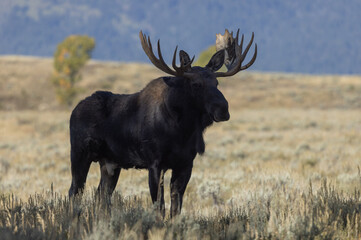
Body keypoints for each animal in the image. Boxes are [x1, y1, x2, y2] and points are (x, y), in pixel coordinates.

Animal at [69, 29, 256, 217]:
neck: (183, 130)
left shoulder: (185, 163)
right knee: (74, 191)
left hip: (110, 162)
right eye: (196, 84)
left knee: (100, 196)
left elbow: (176, 206)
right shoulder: (155, 163)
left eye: (216, 82)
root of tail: (74, 110)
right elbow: (159, 206)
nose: (223, 109)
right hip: (80, 153)